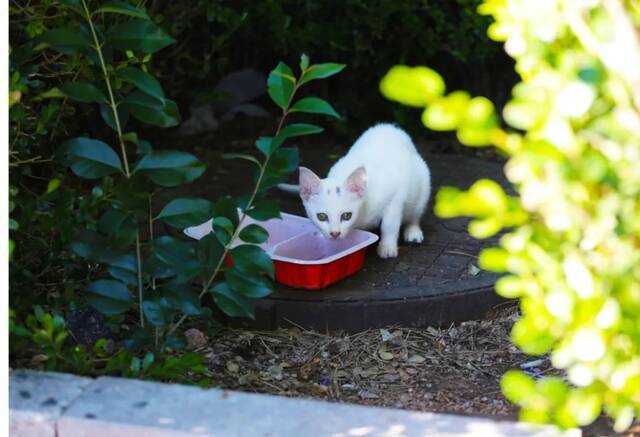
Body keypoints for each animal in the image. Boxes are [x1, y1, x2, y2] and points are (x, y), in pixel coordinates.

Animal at [278, 122, 432, 258]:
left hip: (423, 183)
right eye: (321, 216)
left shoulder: (395, 196)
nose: (335, 233)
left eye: (347, 215)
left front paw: (387, 247)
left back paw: (413, 231)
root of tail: (390, 127)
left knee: (415, 213)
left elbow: (389, 225)